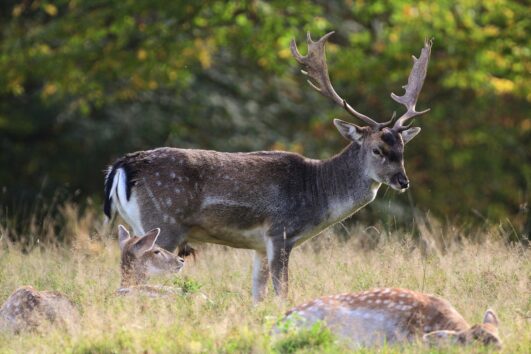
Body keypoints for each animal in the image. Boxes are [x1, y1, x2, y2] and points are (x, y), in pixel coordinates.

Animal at [103, 31, 432, 302]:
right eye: (377, 149)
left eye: (402, 150)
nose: (403, 181)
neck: (317, 193)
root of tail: (121, 165)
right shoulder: (280, 232)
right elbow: (282, 291)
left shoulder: (259, 246)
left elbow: (257, 295)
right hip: (164, 221)